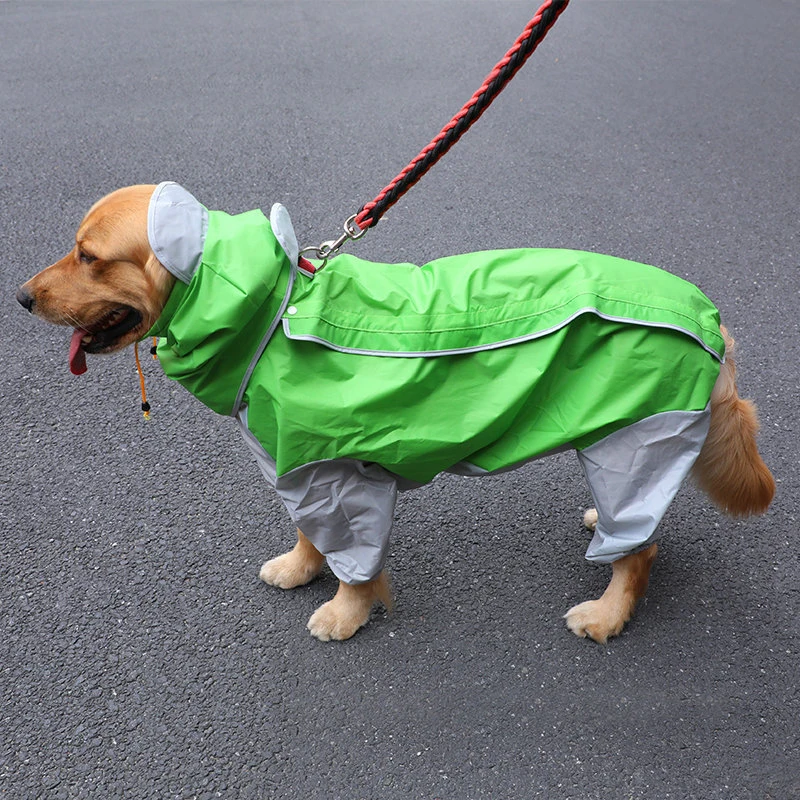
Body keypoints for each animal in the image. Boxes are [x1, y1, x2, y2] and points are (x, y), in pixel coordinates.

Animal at [14, 183, 776, 644]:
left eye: (89, 255)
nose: (20, 297)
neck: (274, 314)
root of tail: (711, 318)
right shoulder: (297, 465)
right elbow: (309, 533)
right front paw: (301, 568)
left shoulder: (338, 476)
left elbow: (355, 560)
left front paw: (344, 613)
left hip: (641, 438)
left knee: (639, 548)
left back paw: (607, 612)